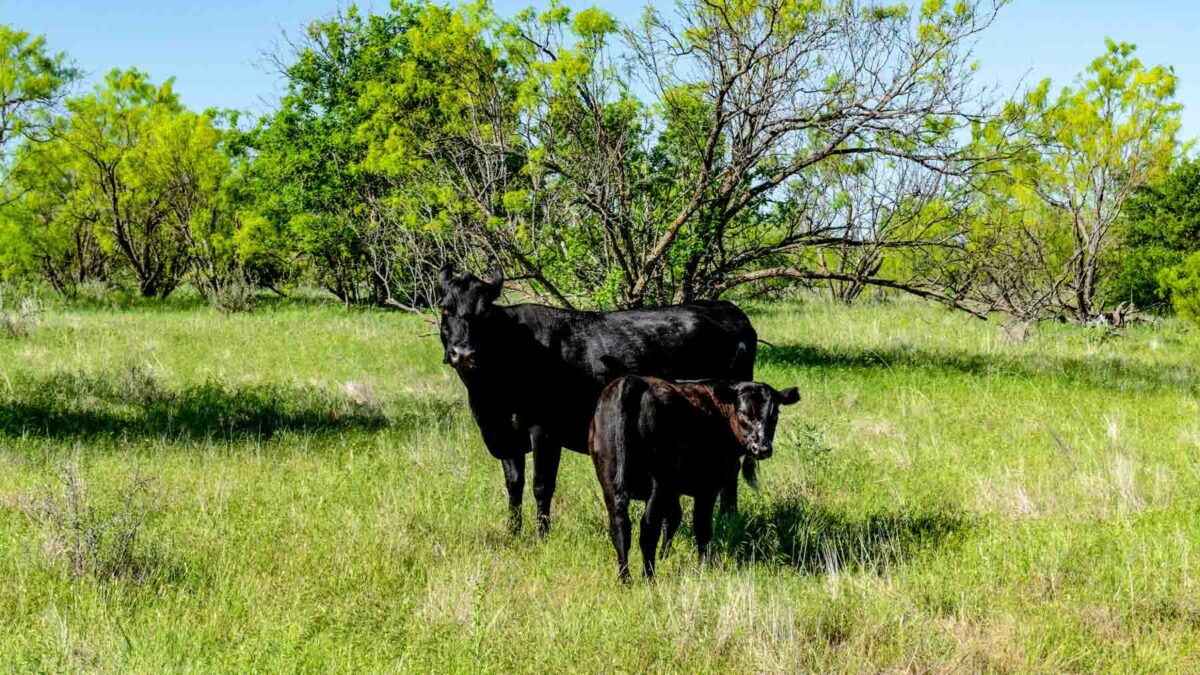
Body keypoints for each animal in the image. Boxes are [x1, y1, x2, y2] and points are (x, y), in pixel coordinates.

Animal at [437, 265, 758, 535]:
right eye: (445, 308)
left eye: (484, 312)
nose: (463, 353)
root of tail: (725, 308)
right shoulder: (505, 433)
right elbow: (514, 484)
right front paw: (514, 532)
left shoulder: (544, 430)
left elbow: (542, 485)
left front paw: (542, 535)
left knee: (730, 471)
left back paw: (728, 520)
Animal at [589, 375, 799, 581]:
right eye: (744, 413)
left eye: (775, 414)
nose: (762, 448)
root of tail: (630, 381)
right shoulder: (707, 487)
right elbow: (701, 525)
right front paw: (704, 565)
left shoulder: (673, 492)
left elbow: (673, 519)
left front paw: (665, 556)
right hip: (658, 482)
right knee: (648, 529)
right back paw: (648, 577)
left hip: (609, 479)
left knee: (620, 528)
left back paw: (625, 578)